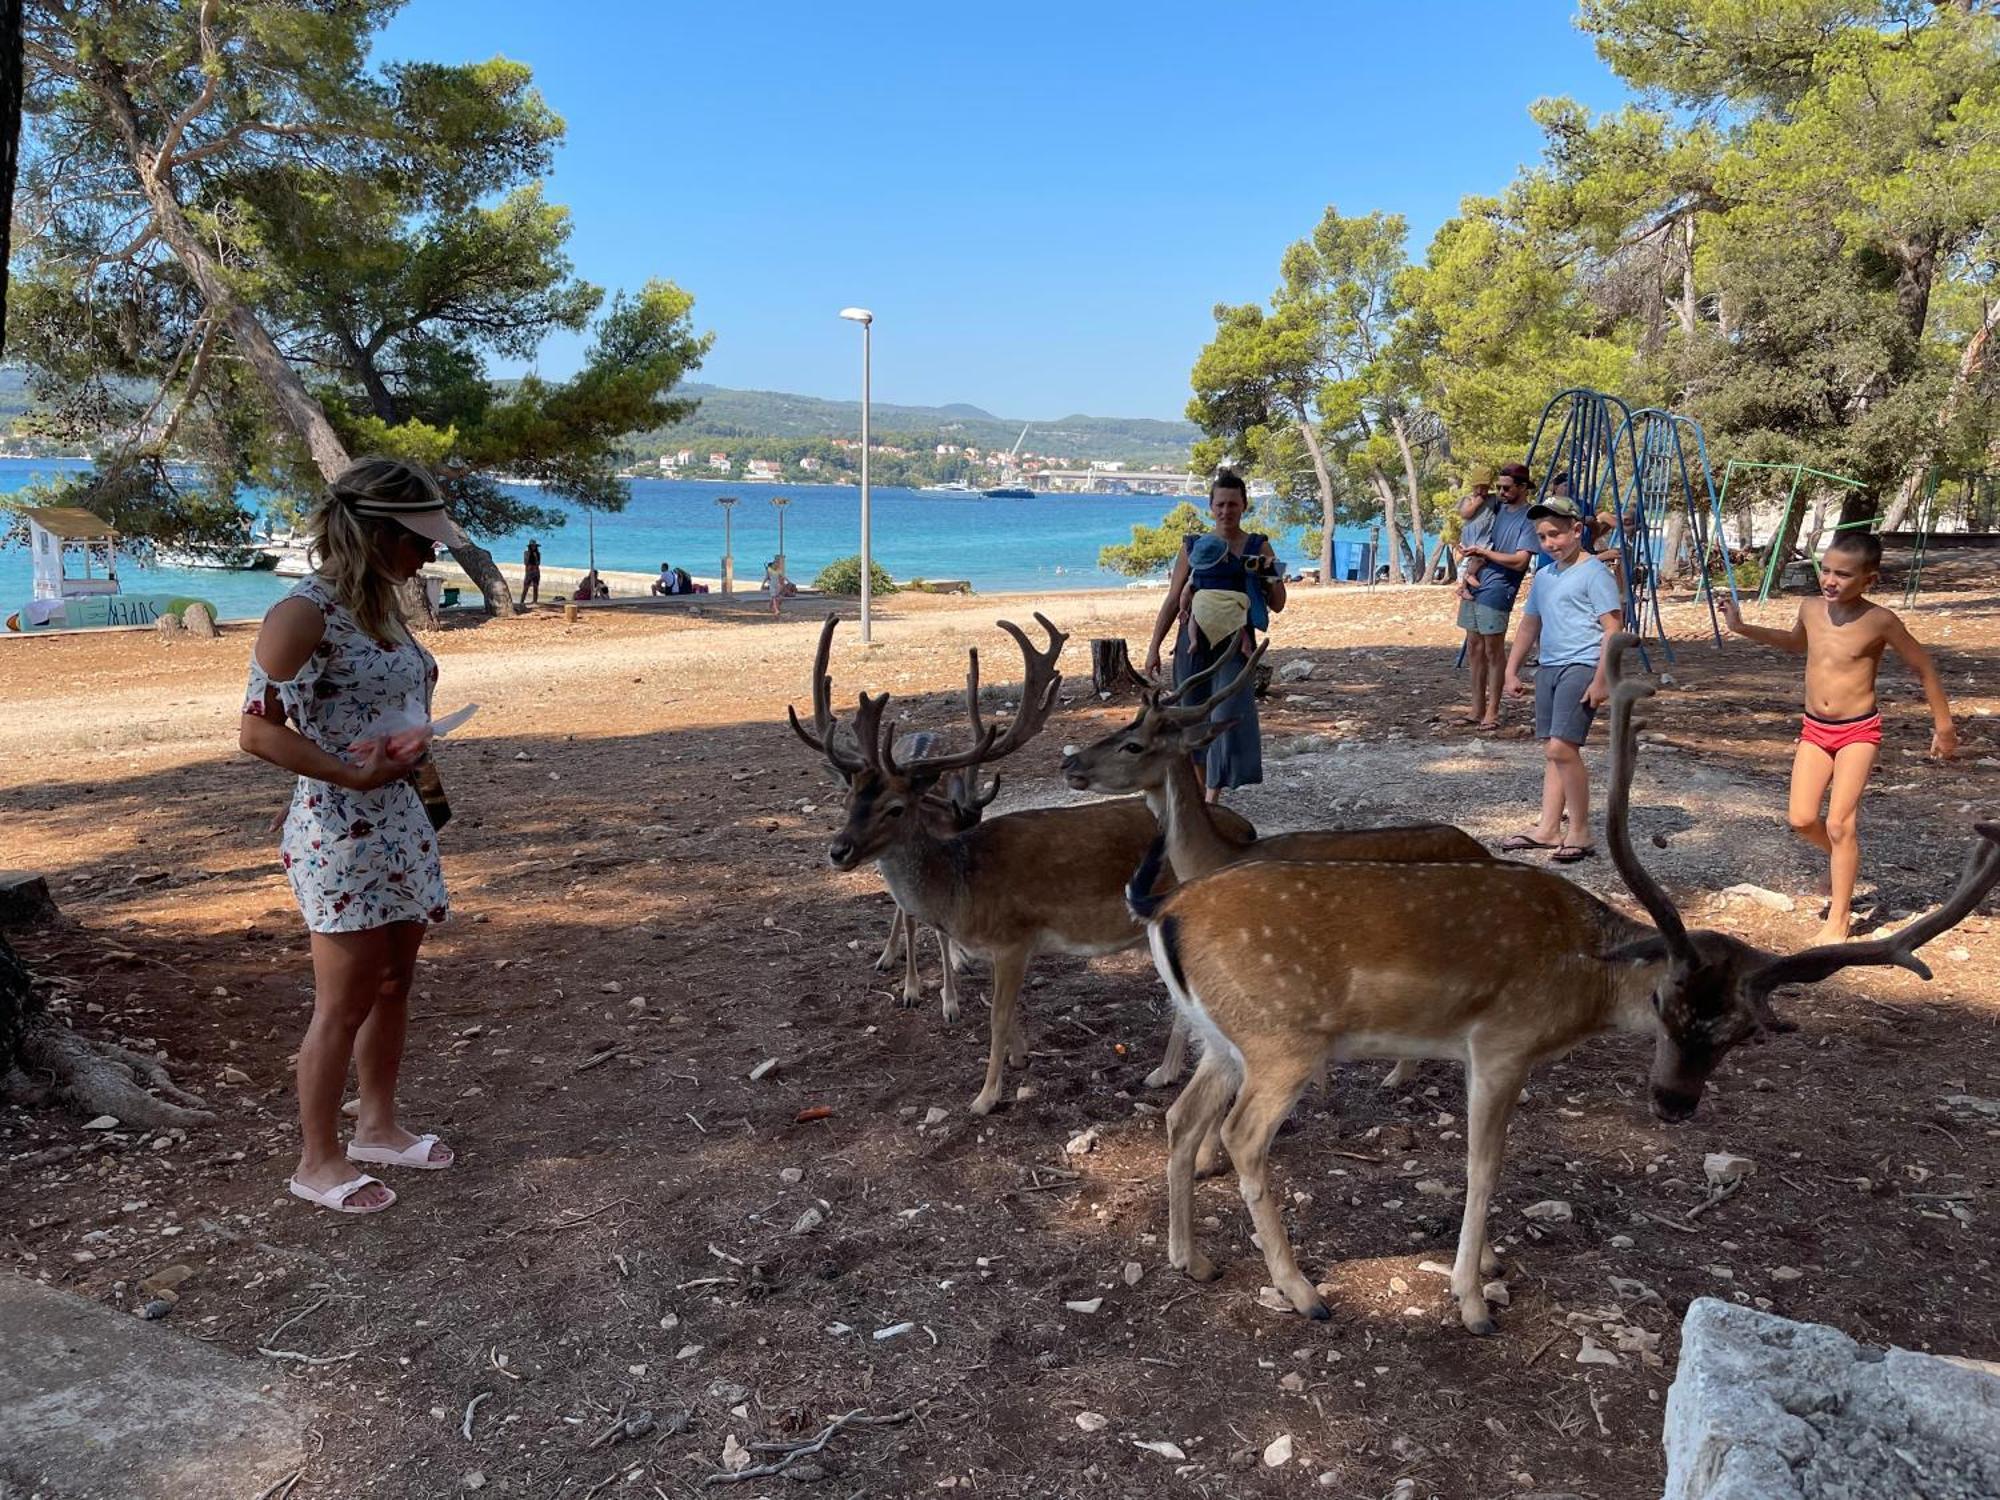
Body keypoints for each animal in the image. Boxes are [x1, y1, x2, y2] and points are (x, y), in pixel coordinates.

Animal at [792, 612, 1248, 1120]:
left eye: (895, 808)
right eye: (847, 799)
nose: (839, 850)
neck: (961, 887)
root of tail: (1243, 828)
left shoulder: (1014, 937)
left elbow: (996, 1015)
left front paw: (986, 1096)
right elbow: (1007, 1011)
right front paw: (1021, 1054)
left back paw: (1167, 1073)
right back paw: (1166, 1072)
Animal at [1056, 640, 1496, 1088]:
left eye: (1134, 745)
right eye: (1123, 727)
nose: (1069, 764)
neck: (1217, 857)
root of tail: (1483, 850)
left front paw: (1161, 1074)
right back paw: (1397, 1075)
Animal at [1136, 636, 1992, 1336]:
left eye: (1743, 1031)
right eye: (1667, 1001)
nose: (1674, 1102)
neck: (1584, 984)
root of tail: (1168, 911)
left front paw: (1484, 1270)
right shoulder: (1501, 1044)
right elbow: (1484, 1168)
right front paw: (1472, 1300)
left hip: (1225, 1038)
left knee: (1181, 1116)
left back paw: (1192, 1259)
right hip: (1282, 1039)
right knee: (1242, 1138)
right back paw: (1304, 1291)